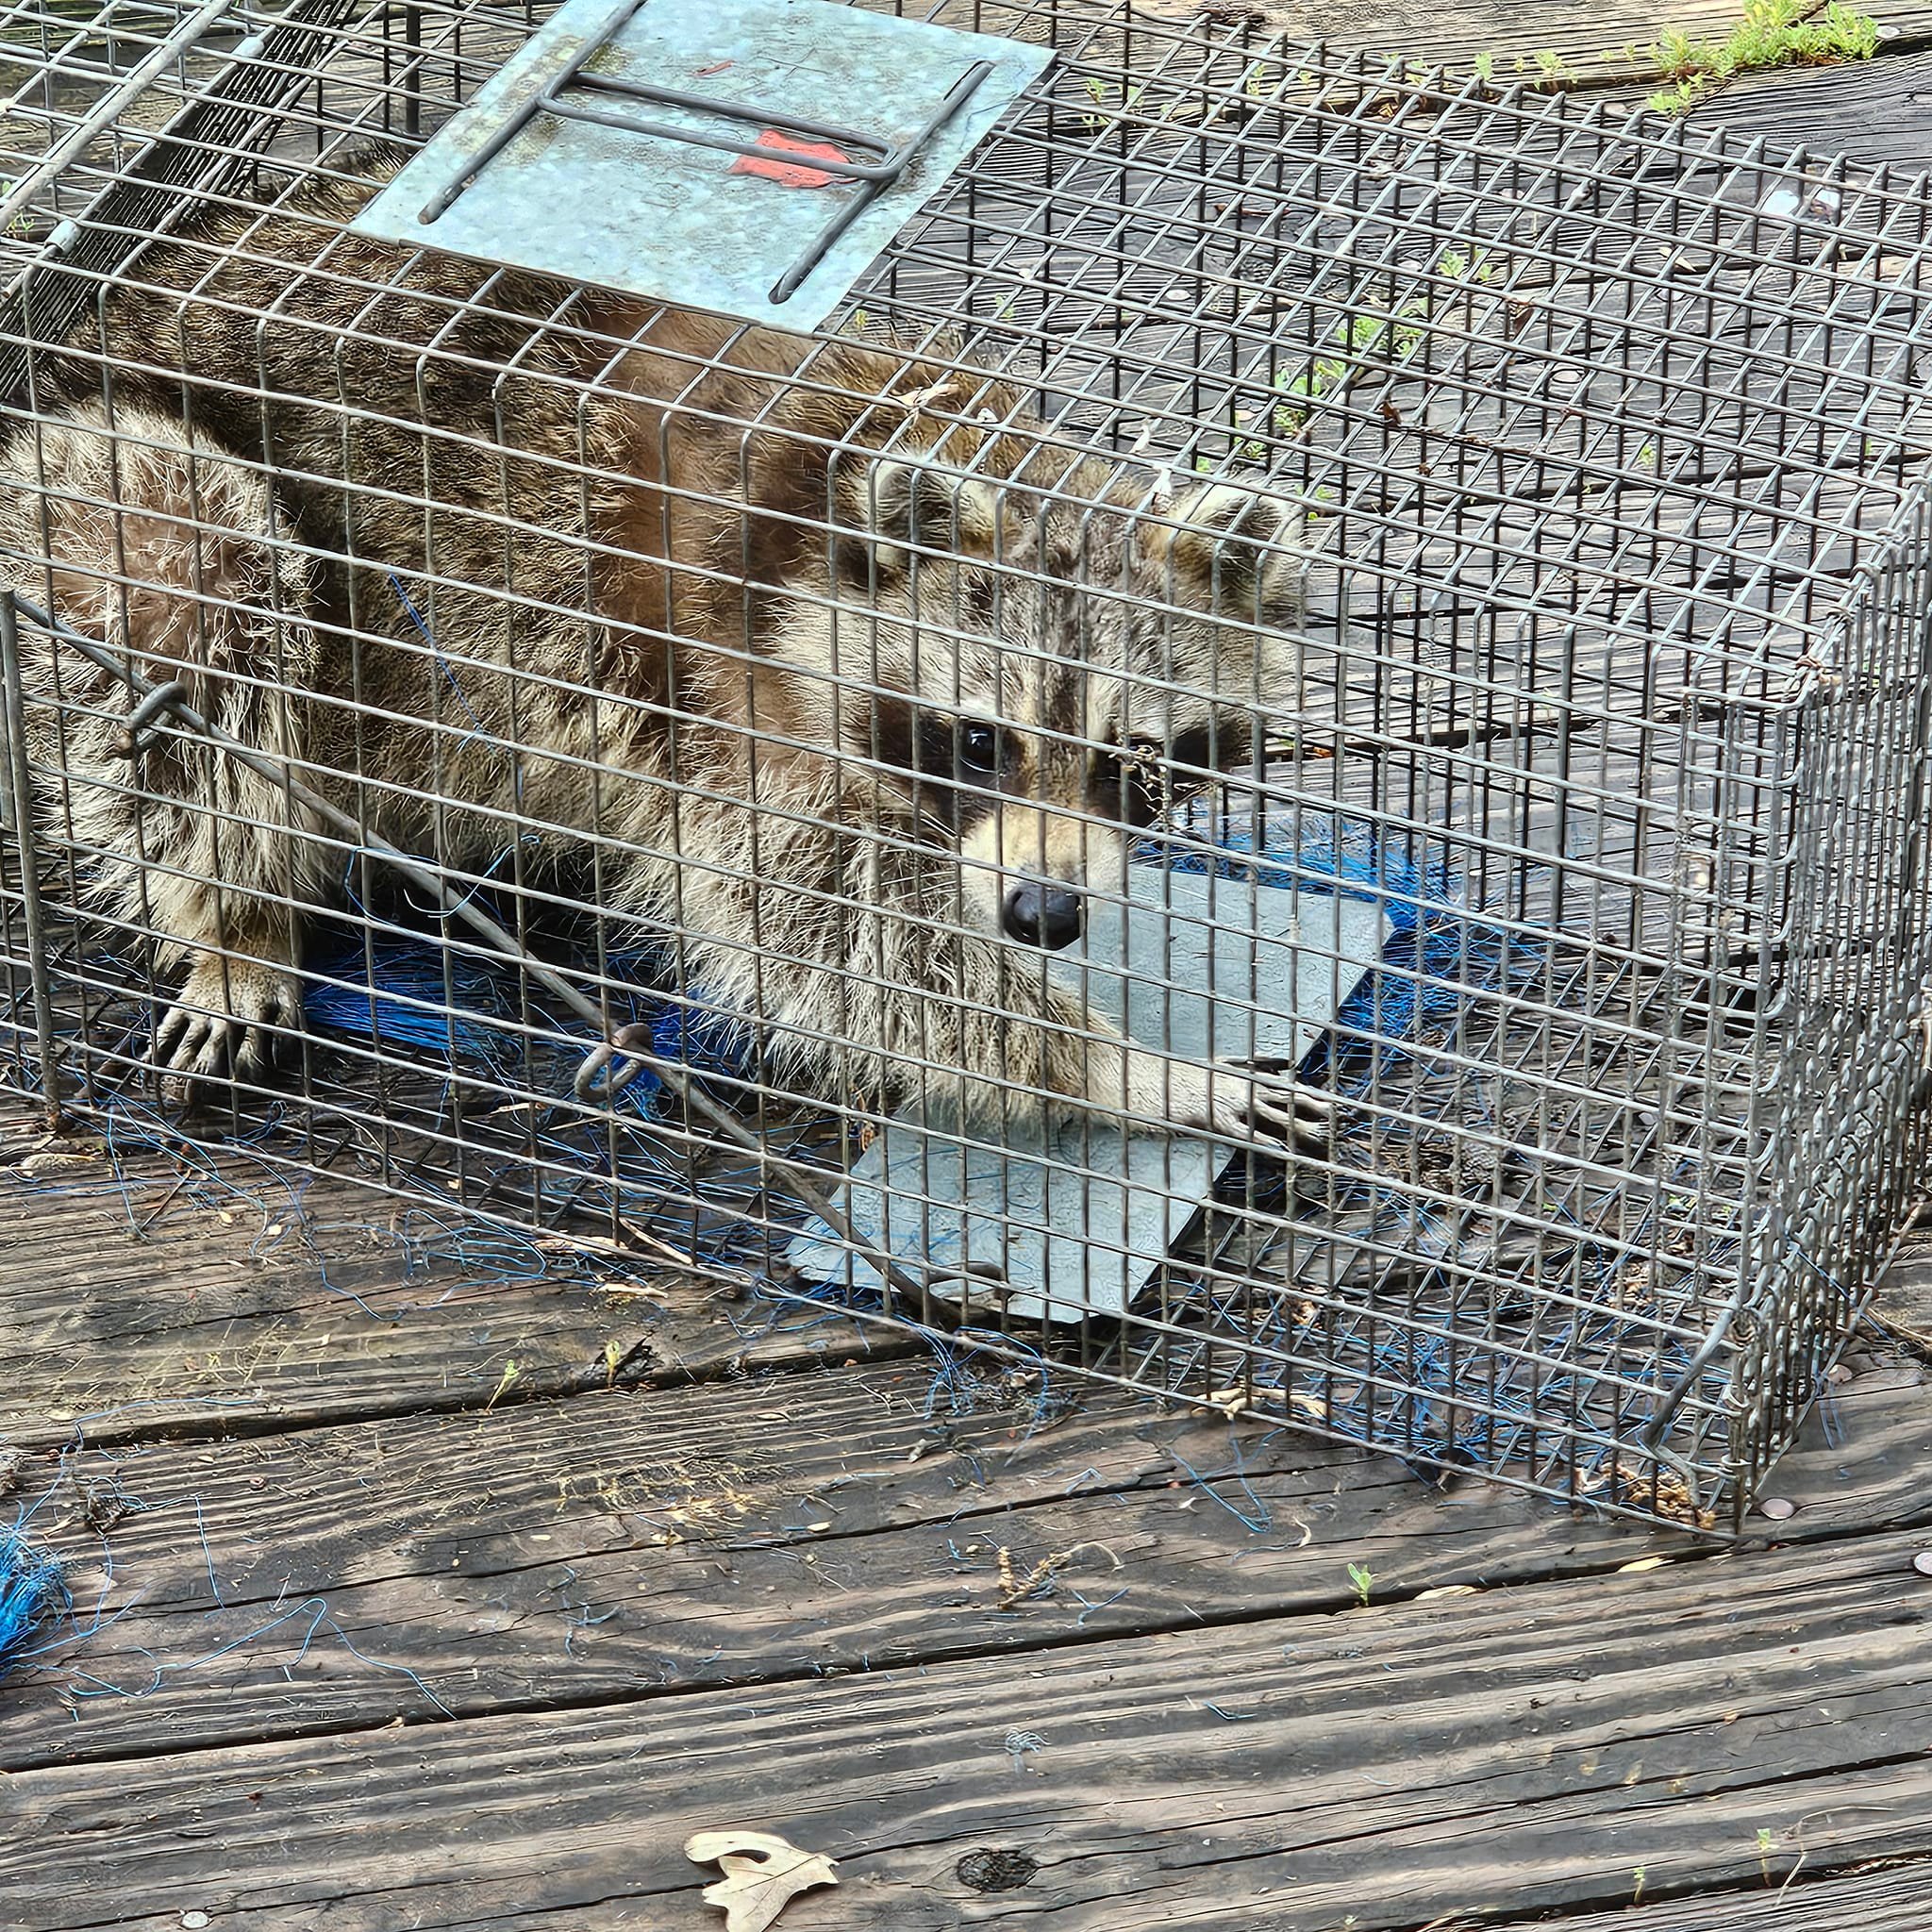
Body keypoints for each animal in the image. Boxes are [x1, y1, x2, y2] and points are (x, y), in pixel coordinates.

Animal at [0, 157, 1325, 1143]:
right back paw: (231, 914)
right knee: (198, 623)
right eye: (978, 742)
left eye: (1136, 761)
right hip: (88, 492)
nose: (1043, 913)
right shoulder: (720, 701)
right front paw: (1121, 1071)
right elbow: (838, 945)